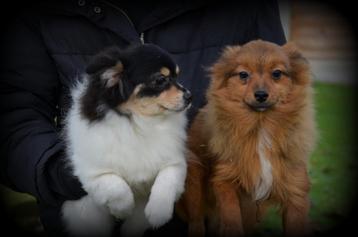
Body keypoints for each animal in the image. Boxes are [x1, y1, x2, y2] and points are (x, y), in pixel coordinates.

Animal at [60, 43, 193, 236]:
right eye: (161, 80)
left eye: (177, 76)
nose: (190, 96)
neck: (140, 123)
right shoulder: (91, 172)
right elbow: (116, 185)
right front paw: (123, 210)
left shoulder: (176, 163)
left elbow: (166, 180)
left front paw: (158, 212)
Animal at [178, 39, 316, 236]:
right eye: (243, 74)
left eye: (277, 73)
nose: (261, 95)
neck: (260, 128)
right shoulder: (224, 181)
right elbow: (231, 217)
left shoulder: (295, 192)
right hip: (195, 182)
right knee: (196, 220)